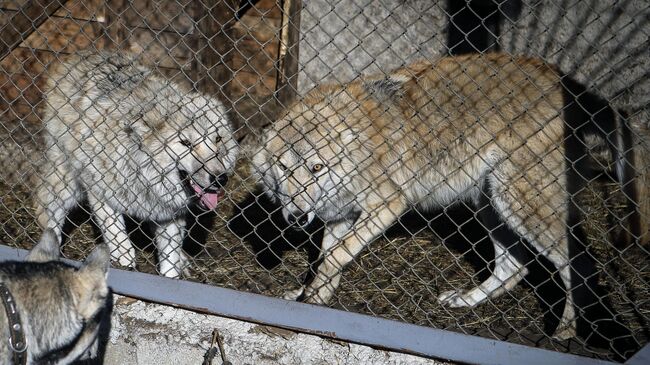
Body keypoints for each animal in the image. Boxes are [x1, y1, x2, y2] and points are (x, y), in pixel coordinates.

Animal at [35, 51, 238, 278]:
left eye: (217, 139)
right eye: (186, 143)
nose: (220, 178)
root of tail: (83, 55)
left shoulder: (168, 213)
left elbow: (170, 259)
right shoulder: (100, 193)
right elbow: (117, 236)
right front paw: (125, 260)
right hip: (68, 183)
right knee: (49, 210)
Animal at [253, 52, 636, 340]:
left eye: (316, 167)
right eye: (284, 168)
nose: (297, 218)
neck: (357, 143)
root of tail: (567, 85)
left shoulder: (387, 204)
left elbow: (334, 257)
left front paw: (311, 297)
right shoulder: (341, 216)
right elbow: (325, 260)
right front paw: (310, 298)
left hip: (521, 207)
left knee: (579, 265)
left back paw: (566, 332)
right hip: (491, 206)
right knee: (516, 266)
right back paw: (466, 301)